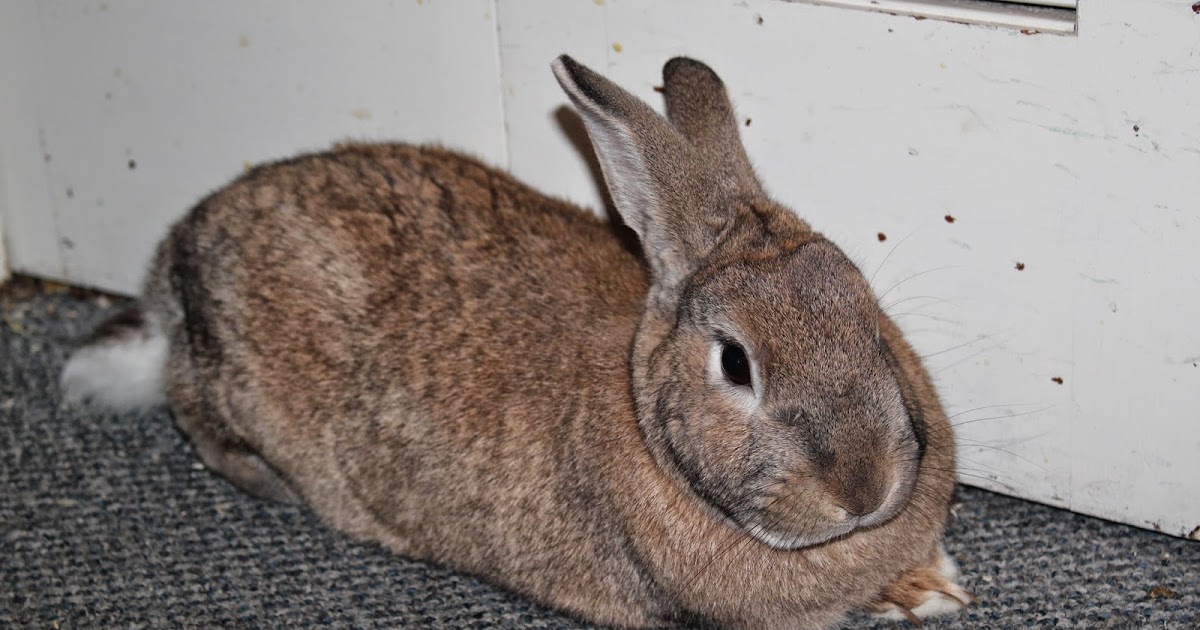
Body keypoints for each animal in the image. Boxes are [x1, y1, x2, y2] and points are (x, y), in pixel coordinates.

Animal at [62, 55, 971, 629]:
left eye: (867, 318)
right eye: (735, 363)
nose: (865, 489)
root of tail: (174, 259)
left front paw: (929, 586)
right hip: (230, 378)